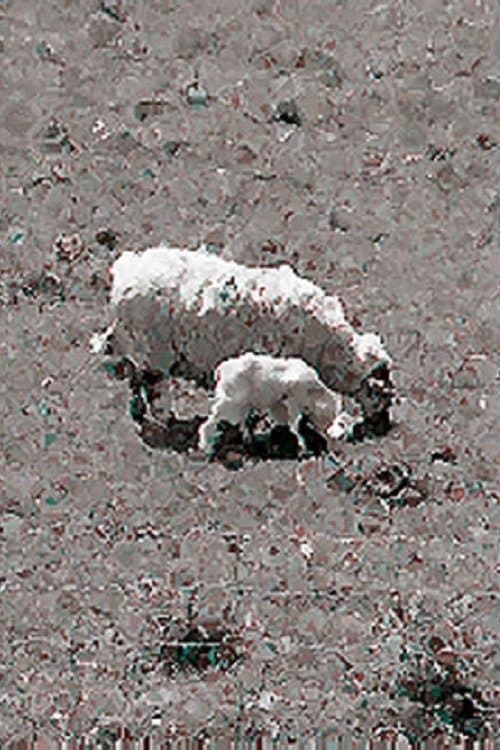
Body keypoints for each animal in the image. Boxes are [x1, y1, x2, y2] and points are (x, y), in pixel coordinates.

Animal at [94, 244, 393, 424]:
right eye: (382, 391)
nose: (381, 426)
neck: (329, 346)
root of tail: (124, 277)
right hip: (155, 349)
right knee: (153, 383)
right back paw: (165, 417)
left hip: (139, 345)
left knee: (136, 377)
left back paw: (139, 411)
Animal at [198, 353, 343, 455]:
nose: (335, 450)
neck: (313, 391)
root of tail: (221, 370)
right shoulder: (294, 401)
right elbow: (294, 425)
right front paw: (303, 446)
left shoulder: (280, 404)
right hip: (231, 403)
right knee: (212, 420)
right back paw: (207, 446)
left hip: (240, 405)